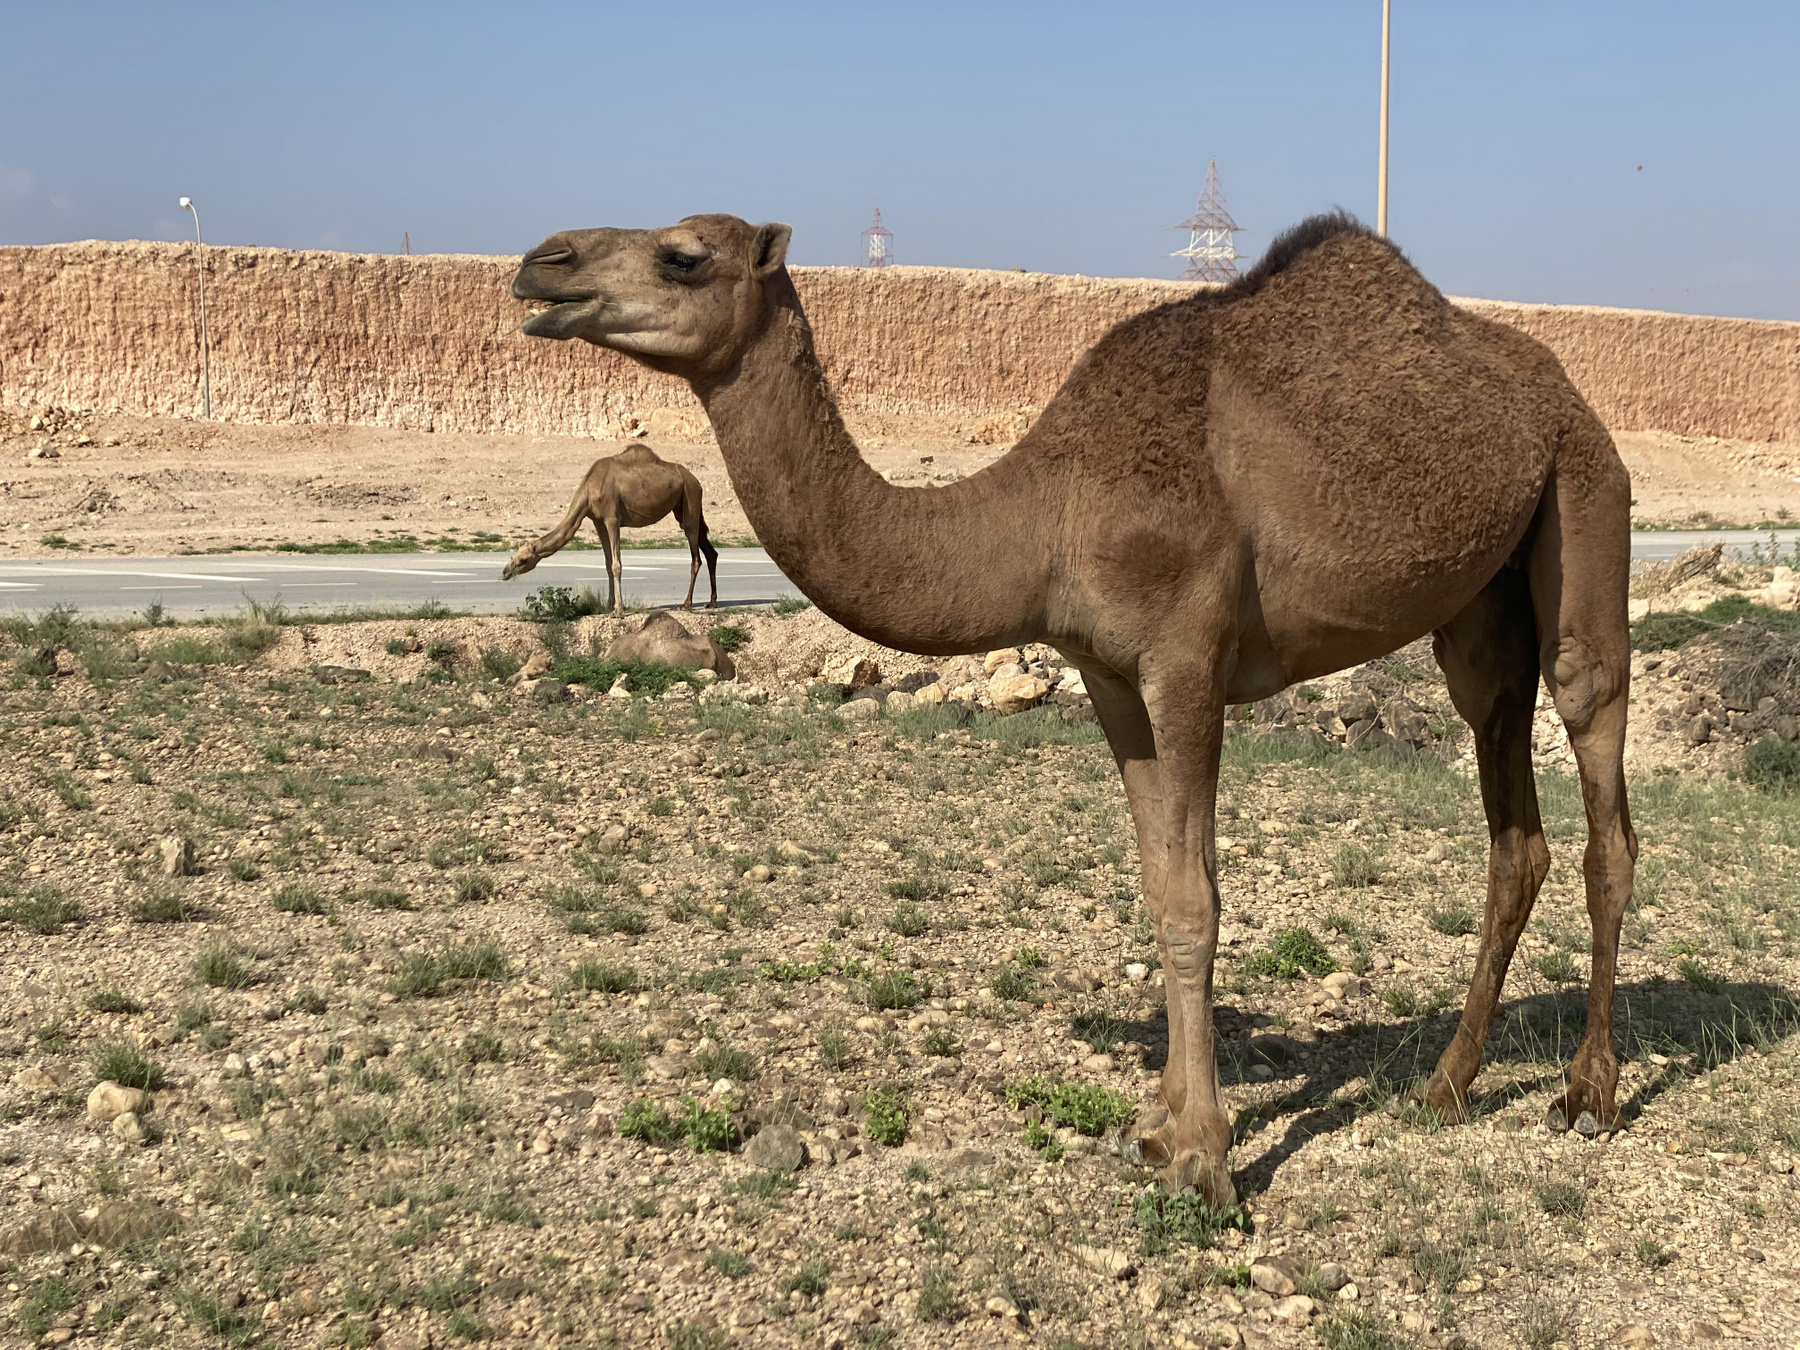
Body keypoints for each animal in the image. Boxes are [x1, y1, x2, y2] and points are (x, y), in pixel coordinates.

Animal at [500, 444, 716, 612]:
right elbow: (606, 563)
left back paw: (687, 604)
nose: (504, 572)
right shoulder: (598, 521)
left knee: (695, 554)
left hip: (690, 496)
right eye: (513, 556)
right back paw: (712, 602)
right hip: (681, 505)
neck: (589, 491)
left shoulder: (612, 518)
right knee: (710, 551)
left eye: (523, 560)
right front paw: (608, 604)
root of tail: (695, 480)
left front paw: (619, 608)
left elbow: (616, 564)